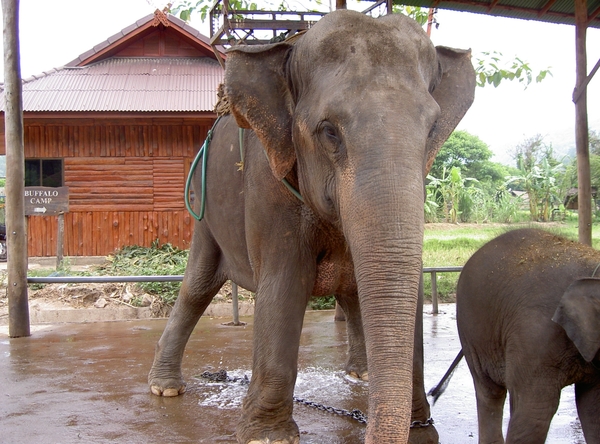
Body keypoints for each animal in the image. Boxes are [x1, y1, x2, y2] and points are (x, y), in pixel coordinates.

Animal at [149, 10, 474, 444]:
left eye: (432, 129)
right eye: (330, 131)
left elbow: (410, 288)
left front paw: (421, 430)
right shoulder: (268, 183)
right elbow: (284, 284)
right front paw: (266, 436)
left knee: (351, 292)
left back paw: (360, 373)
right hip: (204, 212)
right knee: (197, 286)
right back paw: (164, 388)